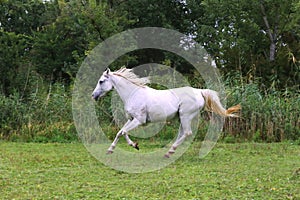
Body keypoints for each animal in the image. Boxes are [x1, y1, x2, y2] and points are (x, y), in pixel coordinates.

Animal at [92, 67, 240, 158]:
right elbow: (120, 132)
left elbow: (123, 132)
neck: (133, 94)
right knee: (182, 133)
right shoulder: (131, 119)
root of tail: (199, 91)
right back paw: (169, 152)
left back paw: (169, 152)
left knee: (187, 133)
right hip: (181, 118)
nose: (93, 96)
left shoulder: (139, 120)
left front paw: (134, 145)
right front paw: (111, 150)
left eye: (101, 81)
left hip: (186, 116)